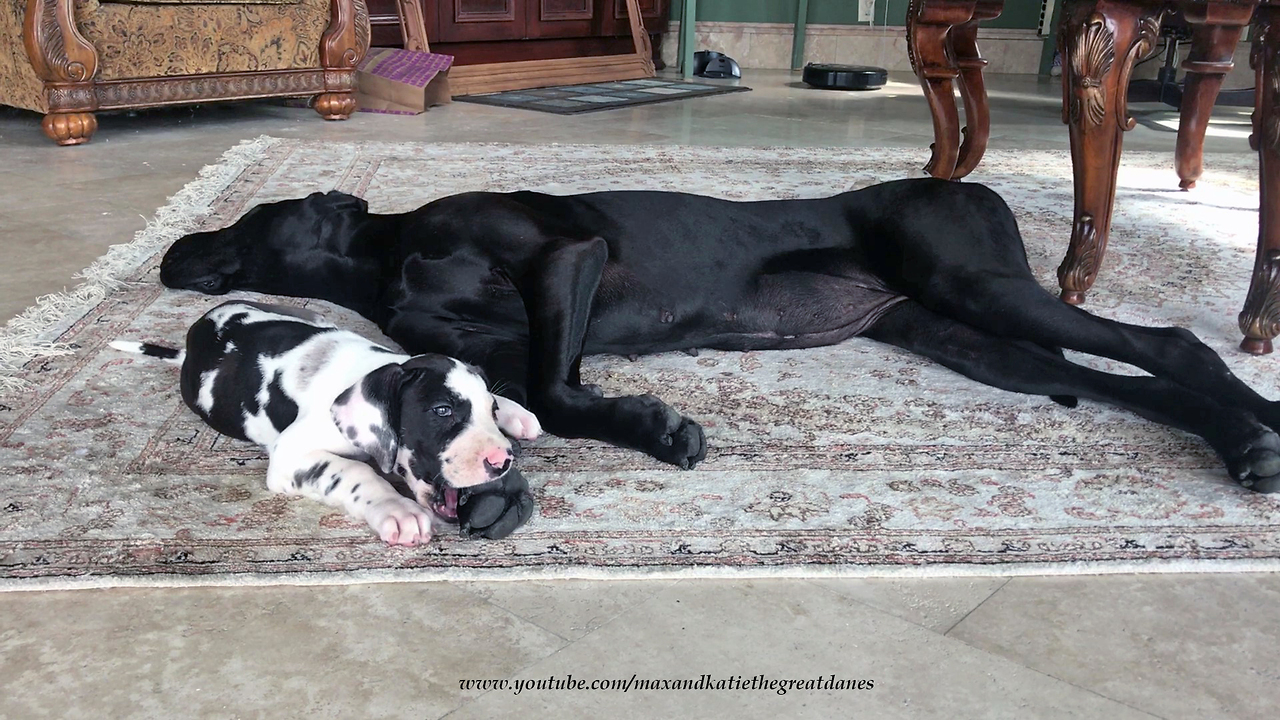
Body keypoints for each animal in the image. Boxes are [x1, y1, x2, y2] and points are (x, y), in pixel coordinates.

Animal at [111, 298, 545, 543]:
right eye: (442, 411)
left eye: (488, 411)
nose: (502, 461)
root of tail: (192, 341)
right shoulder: (291, 457)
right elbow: (356, 472)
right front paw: (397, 511)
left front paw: (511, 409)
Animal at [160, 180, 1280, 491]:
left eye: (247, 220)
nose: (172, 250)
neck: (387, 252)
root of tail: (977, 187)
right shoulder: (511, 341)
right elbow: (547, 396)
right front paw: (644, 428)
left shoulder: (567, 255)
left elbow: (559, 392)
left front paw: (653, 428)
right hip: (973, 341)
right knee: (1137, 379)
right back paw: (1245, 440)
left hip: (974, 286)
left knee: (1170, 346)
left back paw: (1252, 421)